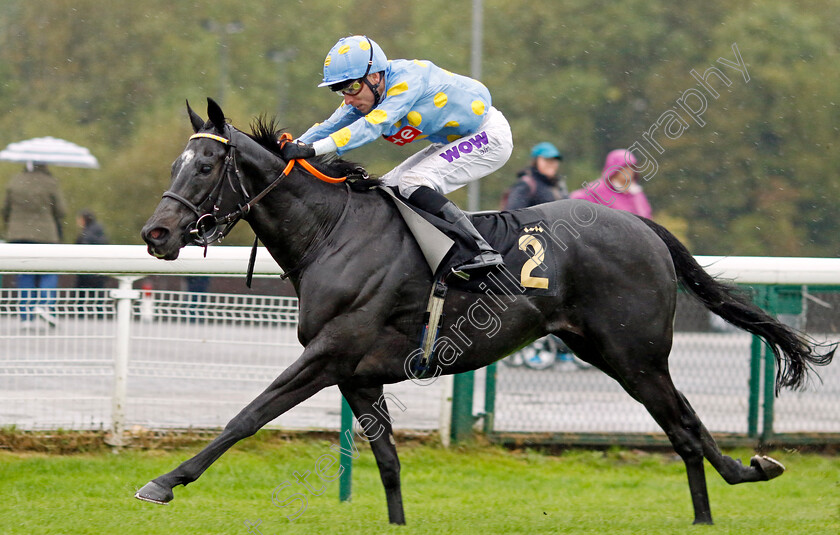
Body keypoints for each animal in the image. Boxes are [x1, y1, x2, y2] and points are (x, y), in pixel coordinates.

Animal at [138, 98, 832, 524]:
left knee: (684, 423)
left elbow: (246, 416)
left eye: (206, 164)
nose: (156, 233)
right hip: (610, 352)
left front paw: (163, 482)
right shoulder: (357, 375)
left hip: (634, 355)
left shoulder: (328, 355)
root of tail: (641, 226)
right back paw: (716, 500)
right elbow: (388, 462)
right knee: (681, 429)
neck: (334, 232)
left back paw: (737, 481)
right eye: (176, 162)